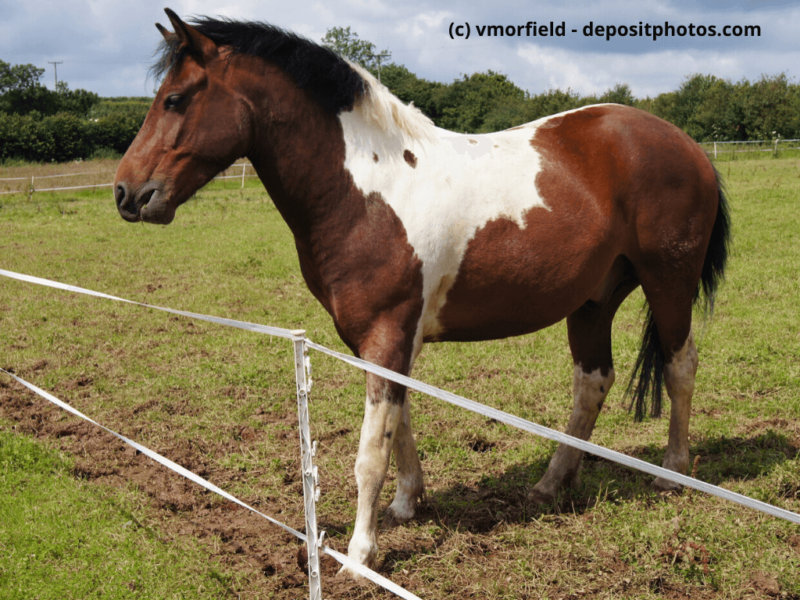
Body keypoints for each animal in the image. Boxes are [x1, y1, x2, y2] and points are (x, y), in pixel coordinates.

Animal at [114, 9, 730, 575]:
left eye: (174, 100)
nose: (126, 192)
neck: (366, 188)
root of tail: (686, 144)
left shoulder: (387, 332)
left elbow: (370, 451)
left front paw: (360, 555)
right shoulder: (382, 337)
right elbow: (399, 420)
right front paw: (409, 502)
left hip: (668, 283)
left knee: (680, 365)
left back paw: (675, 471)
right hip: (593, 301)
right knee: (592, 383)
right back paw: (552, 483)